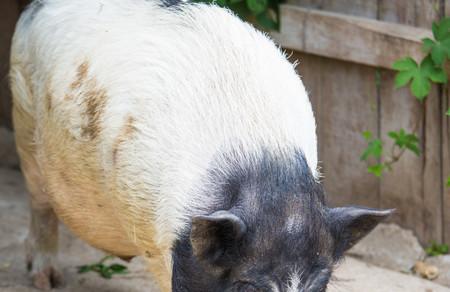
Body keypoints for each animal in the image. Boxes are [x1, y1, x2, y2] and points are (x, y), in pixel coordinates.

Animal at [8, 0, 392, 290]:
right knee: (40, 204)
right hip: (23, 118)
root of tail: (35, 8)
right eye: (248, 288)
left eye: (320, 285)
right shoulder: (165, 246)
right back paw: (45, 280)